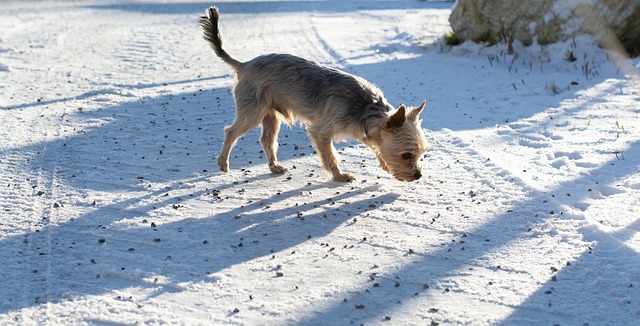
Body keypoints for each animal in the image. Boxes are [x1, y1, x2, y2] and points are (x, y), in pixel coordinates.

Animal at [199, 6, 430, 182]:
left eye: (420, 155)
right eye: (407, 155)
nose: (418, 175)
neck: (366, 109)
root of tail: (244, 64)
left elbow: (377, 147)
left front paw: (383, 163)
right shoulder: (322, 132)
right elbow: (331, 156)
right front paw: (339, 176)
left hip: (270, 113)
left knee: (267, 140)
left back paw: (274, 166)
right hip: (253, 111)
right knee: (230, 131)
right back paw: (223, 163)